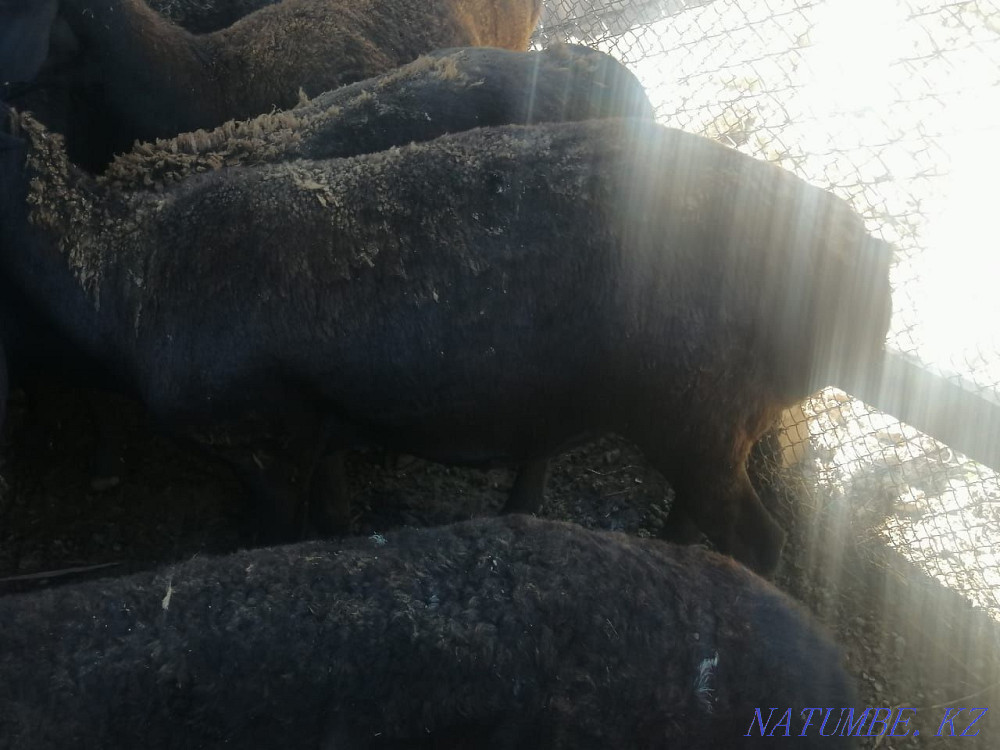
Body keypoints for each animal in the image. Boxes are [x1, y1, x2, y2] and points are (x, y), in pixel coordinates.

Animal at [0, 110, 892, 575]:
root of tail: (866, 266)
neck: (118, 275)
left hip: (698, 407)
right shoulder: (321, 422)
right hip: (705, 418)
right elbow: (332, 510)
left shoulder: (257, 432)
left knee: (762, 542)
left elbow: (281, 530)